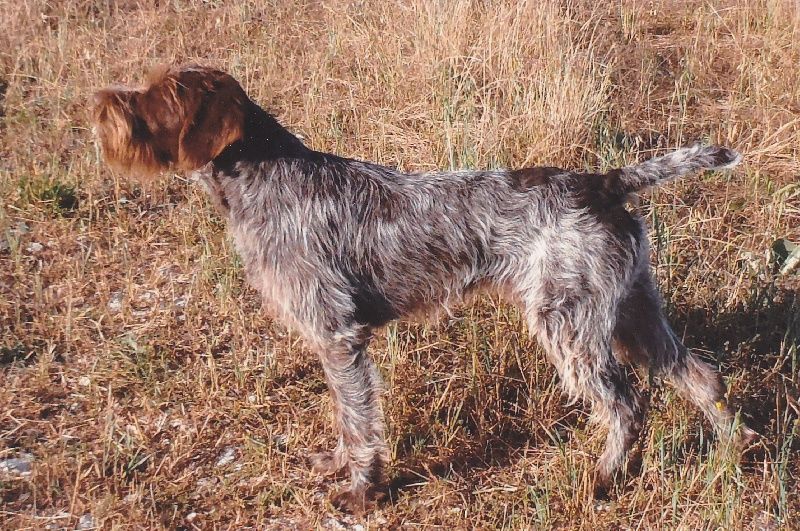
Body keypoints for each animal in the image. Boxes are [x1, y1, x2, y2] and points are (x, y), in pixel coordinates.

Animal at [94, 64, 756, 512]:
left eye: (162, 97)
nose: (100, 102)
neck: (268, 178)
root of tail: (604, 182)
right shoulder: (339, 342)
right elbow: (347, 421)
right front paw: (339, 466)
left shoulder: (339, 336)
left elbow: (359, 421)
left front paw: (363, 491)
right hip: (632, 314)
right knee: (701, 376)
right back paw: (735, 450)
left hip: (569, 324)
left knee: (626, 403)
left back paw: (603, 479)